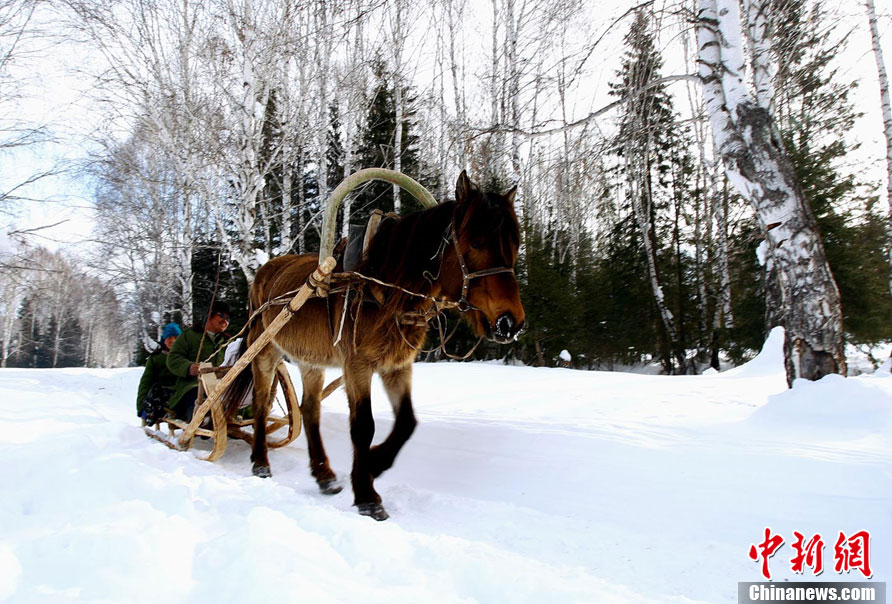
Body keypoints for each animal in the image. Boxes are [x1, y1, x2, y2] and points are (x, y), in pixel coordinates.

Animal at [226, 172, 528, 520]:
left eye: (515, 244)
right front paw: (367, 493)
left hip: (311, 361)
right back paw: (260, 462)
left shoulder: (397, 366)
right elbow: (363, 426)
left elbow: (407, 422)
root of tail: (263, 272)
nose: (510, 322)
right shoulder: (357, 365)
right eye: (476, 242)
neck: (382, 287)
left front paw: (375, 463)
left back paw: (324, 474)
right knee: (261, 403)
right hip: (266, 349)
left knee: (310, 409)